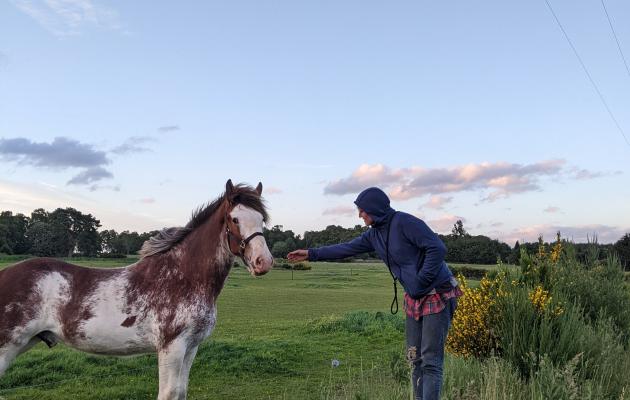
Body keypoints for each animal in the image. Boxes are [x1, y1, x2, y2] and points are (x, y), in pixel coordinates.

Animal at [0, 180, 274, 400]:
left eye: (262, 219)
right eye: (234, 219)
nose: (264, 262)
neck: (182, 277)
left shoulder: (191, 347)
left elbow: (181, 392)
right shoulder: (172, 348)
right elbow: (168, 393)